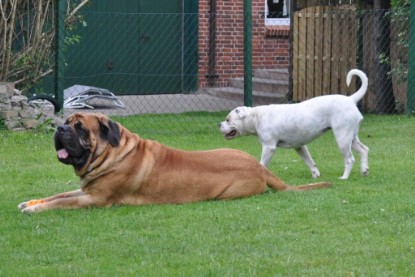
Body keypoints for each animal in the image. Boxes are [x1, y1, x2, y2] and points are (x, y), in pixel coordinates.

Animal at [17, 111, 334, 212]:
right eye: (66, 122)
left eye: (81, 128)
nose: (60, 129)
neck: (113, 153)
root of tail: (258, 167)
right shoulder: (87, 190)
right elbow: (58, 195)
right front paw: (30, 202)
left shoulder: (96, 199)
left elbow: (63, 202)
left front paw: (35, 210)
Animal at [221, 68, 370, 178]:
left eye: (228, 119)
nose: (219, 124)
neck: (256, 117)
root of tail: (350, 99)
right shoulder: (300, 146)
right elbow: (310, 162)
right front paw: (315, 174)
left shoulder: (269, 147)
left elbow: (262, 163)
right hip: (351, 138)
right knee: (364, 149)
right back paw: (364, 170)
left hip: (342, 138)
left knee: (350, 159)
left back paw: (344, 177)